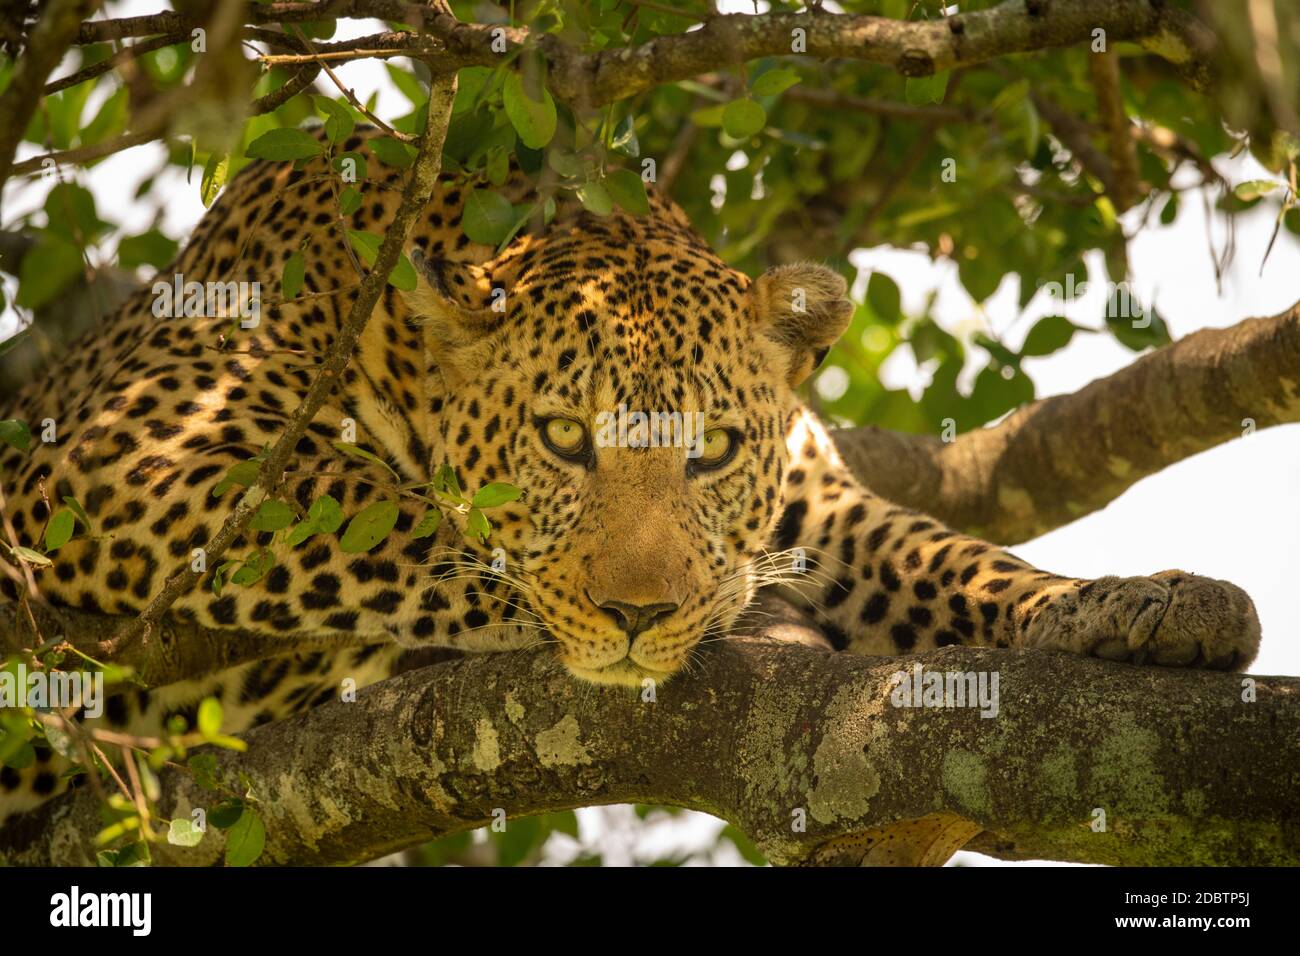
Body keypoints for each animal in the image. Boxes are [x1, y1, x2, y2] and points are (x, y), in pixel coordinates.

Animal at [0, 125, 1261, 824]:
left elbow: (949, 556)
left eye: (711, 449)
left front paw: (1140, 600)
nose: (638, 614)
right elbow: (405, 519)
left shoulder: (816, 496)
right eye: (563, 437)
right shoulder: (123, 444)